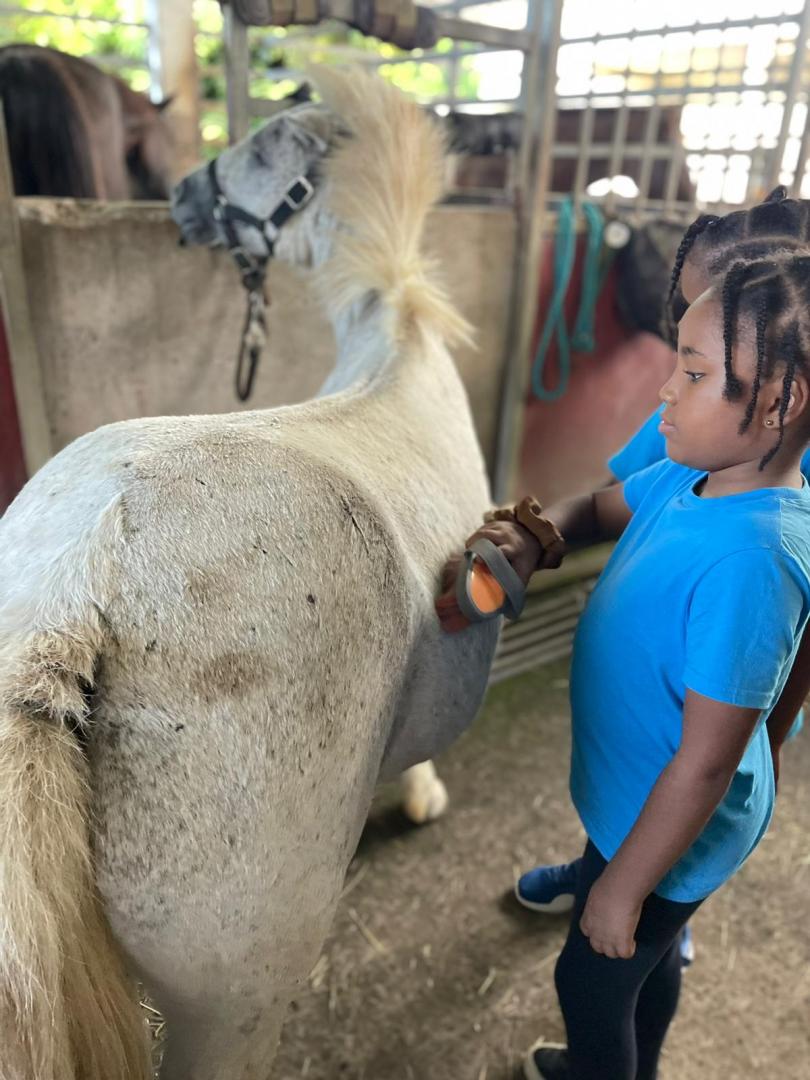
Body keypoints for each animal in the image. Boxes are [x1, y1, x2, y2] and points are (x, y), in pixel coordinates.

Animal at [0, 66, 499, 1079]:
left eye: (262, 145)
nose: (182, 199)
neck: (393, 348)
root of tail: (75, 575)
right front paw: (423, 795)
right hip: (238, 995)